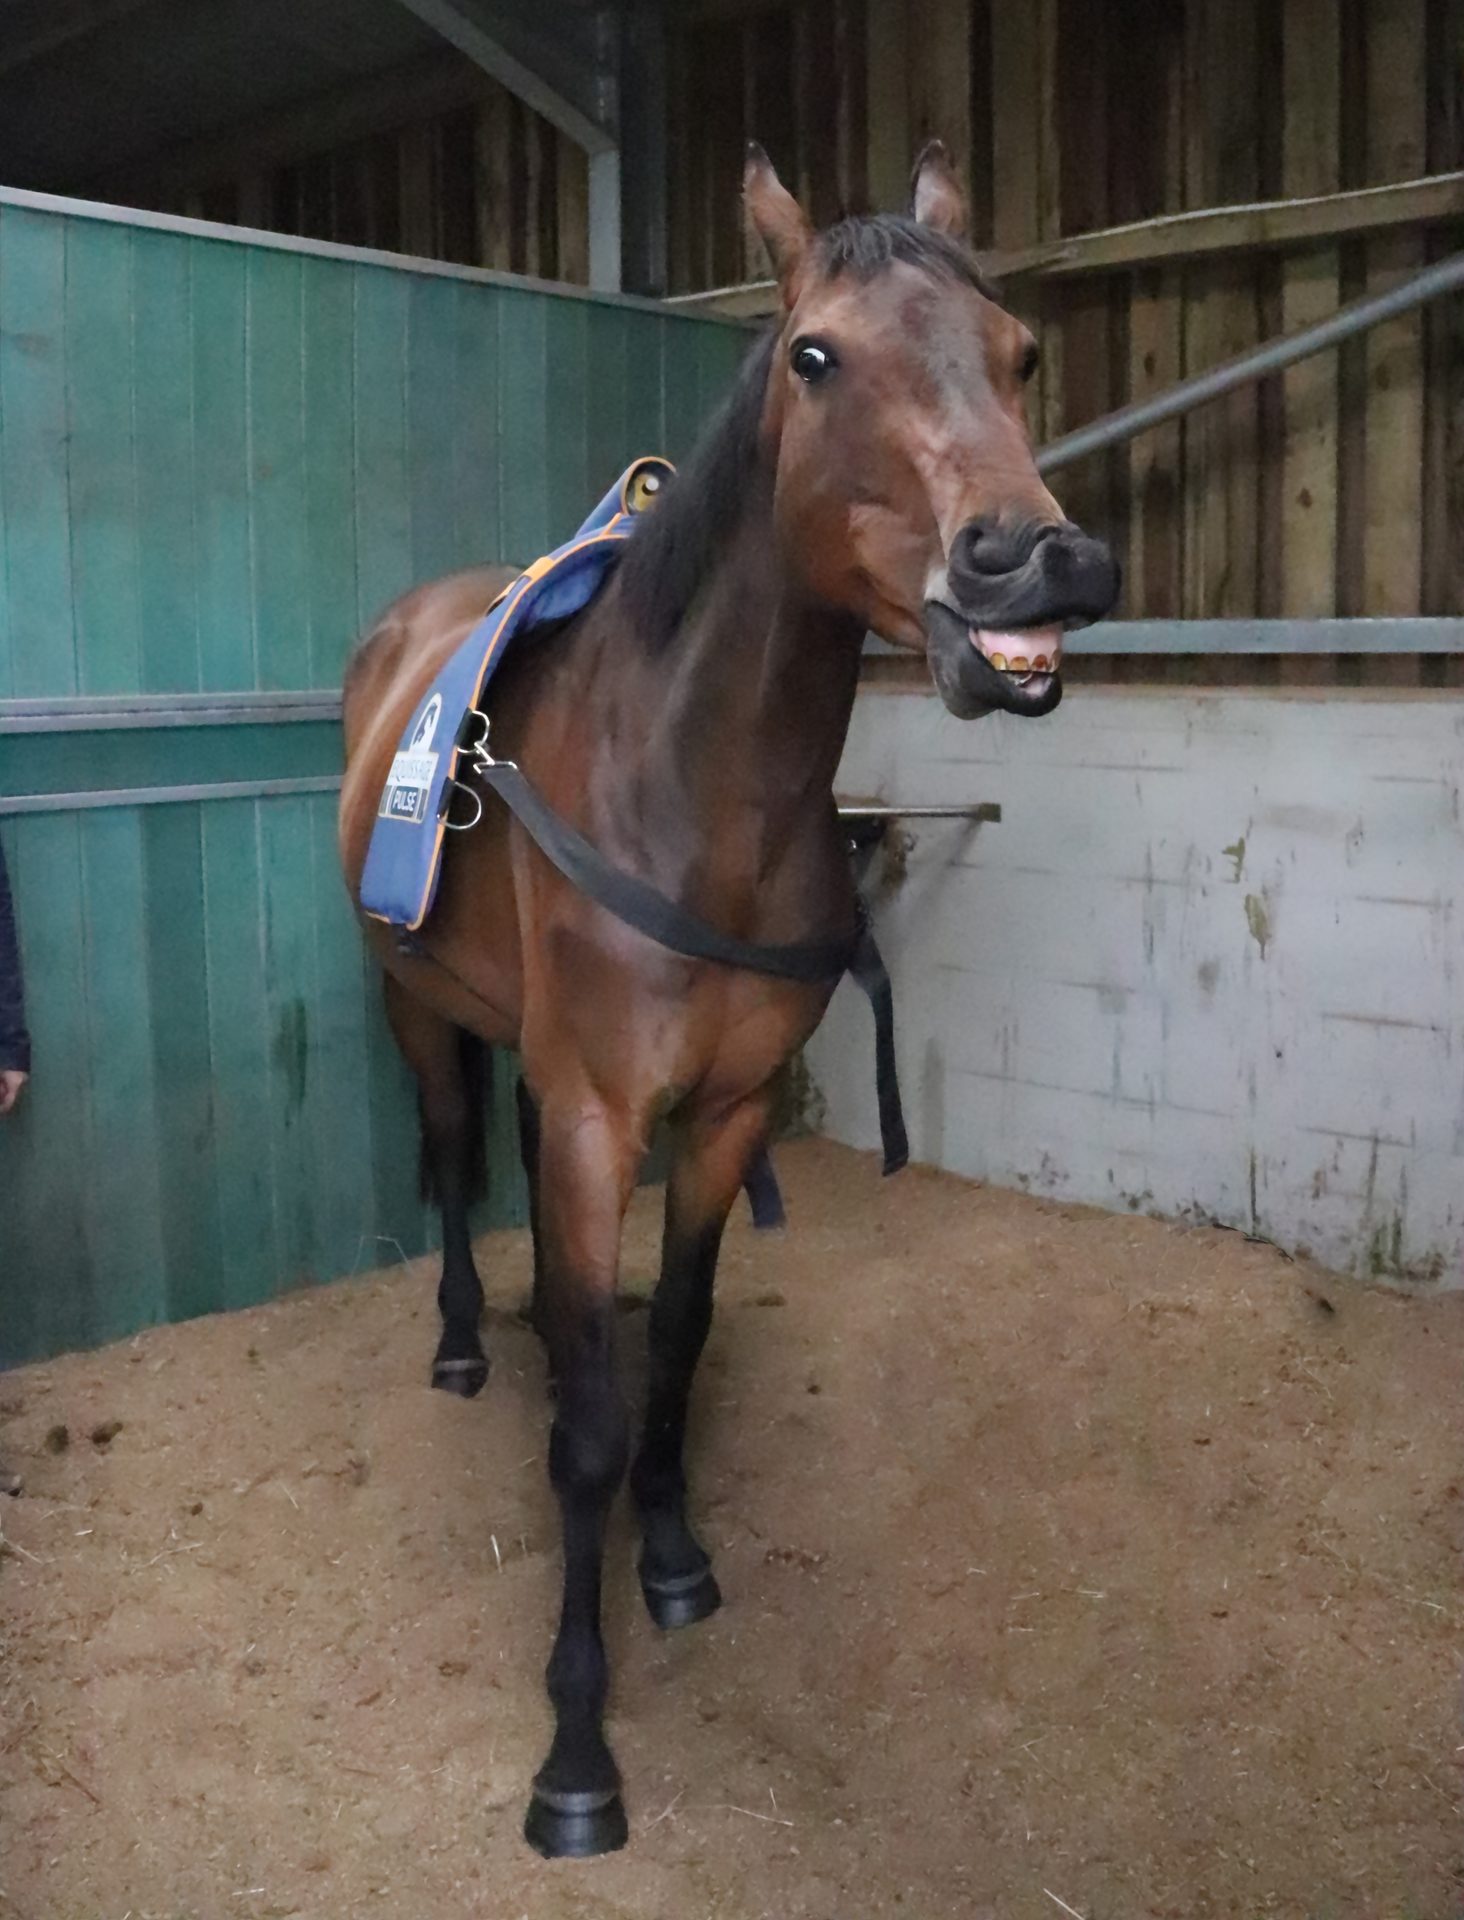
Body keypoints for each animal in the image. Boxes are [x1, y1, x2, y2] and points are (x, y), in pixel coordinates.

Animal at [338, 141, 1119, 1857]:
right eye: (815, 356)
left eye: (1021, 351)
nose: (1039, 561)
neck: (694, 793)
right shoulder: (591, 1122)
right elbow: (583, 1438)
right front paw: (576, 1753)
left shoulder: (724, 1115)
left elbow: (681, 1345)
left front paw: (677, 1552)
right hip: (415, 1007)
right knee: (452, 1154)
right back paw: (463, 1344)